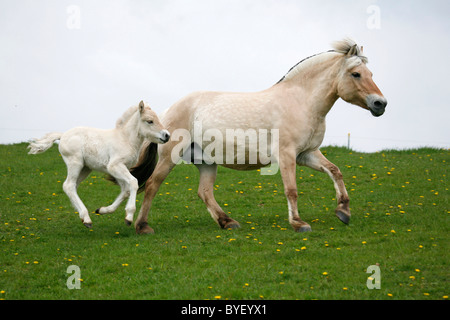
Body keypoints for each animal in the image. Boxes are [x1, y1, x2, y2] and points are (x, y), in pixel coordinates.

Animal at [27, 100, 171, 228]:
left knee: (72, 186)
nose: (167, 135)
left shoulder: (121, 168)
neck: (125, 139)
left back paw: (83, 216)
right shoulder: (114, 166)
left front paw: (102, 210)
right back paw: (86, 219)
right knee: (68, 185)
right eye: (150, 121)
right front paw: (129, 217)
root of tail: (62, 136)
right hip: (75, 163)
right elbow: (133, 183)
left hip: (85, 168)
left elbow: (125, 190)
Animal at [132, 39, 384, 235]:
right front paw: (299, 223)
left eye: (371, 74)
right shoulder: (287, 154)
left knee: (204, 192)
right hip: (170, 157)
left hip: (206, 162)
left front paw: (343, 211)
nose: (380, 104)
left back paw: (228, 222)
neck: (301, 102)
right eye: (356, 74)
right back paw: (143, 226)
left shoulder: (307, 154)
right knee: (153, 185)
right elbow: (291, 189)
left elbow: (335, 171)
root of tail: (165, 114)